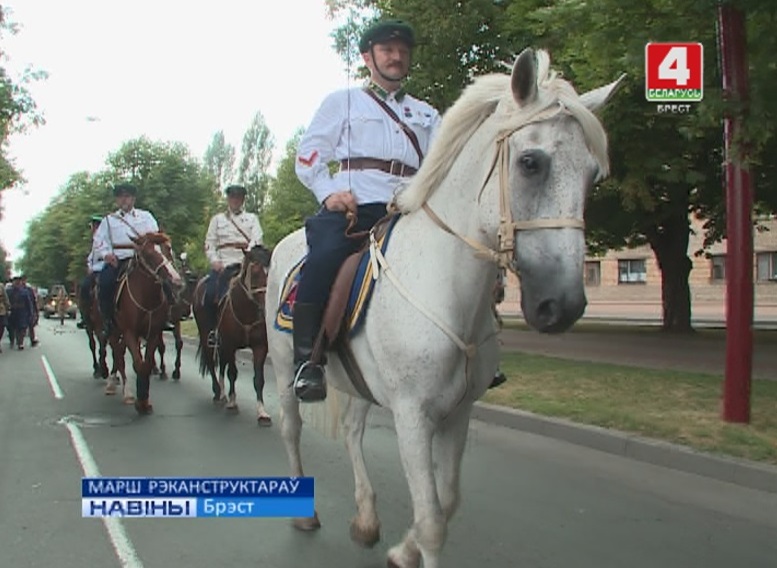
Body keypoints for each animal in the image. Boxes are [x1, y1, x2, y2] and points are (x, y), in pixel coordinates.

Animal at [193, 245, 272, 426]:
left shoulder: (259, 347)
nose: (267, 306)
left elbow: (259, 379)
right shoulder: (230, 345)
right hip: (206, 335)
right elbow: (233, 373)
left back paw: (222, 392)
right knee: (211, 362)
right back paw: (217, 392)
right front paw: (233, 402)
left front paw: (262, 412)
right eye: (255, 272)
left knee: (221, 364)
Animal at [266, 50, 624, 568]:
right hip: (280, 367)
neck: (447, 288)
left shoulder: (458, 413)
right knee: (291, 428)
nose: (563, 305)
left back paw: (366, 519)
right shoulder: (413, 416)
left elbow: (447, 501)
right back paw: (305, 513)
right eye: (531, 163)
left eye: (593, 175)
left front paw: (402, 547)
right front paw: (412, 546)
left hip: (356, 381)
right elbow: (434, 520)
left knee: (352, 432)